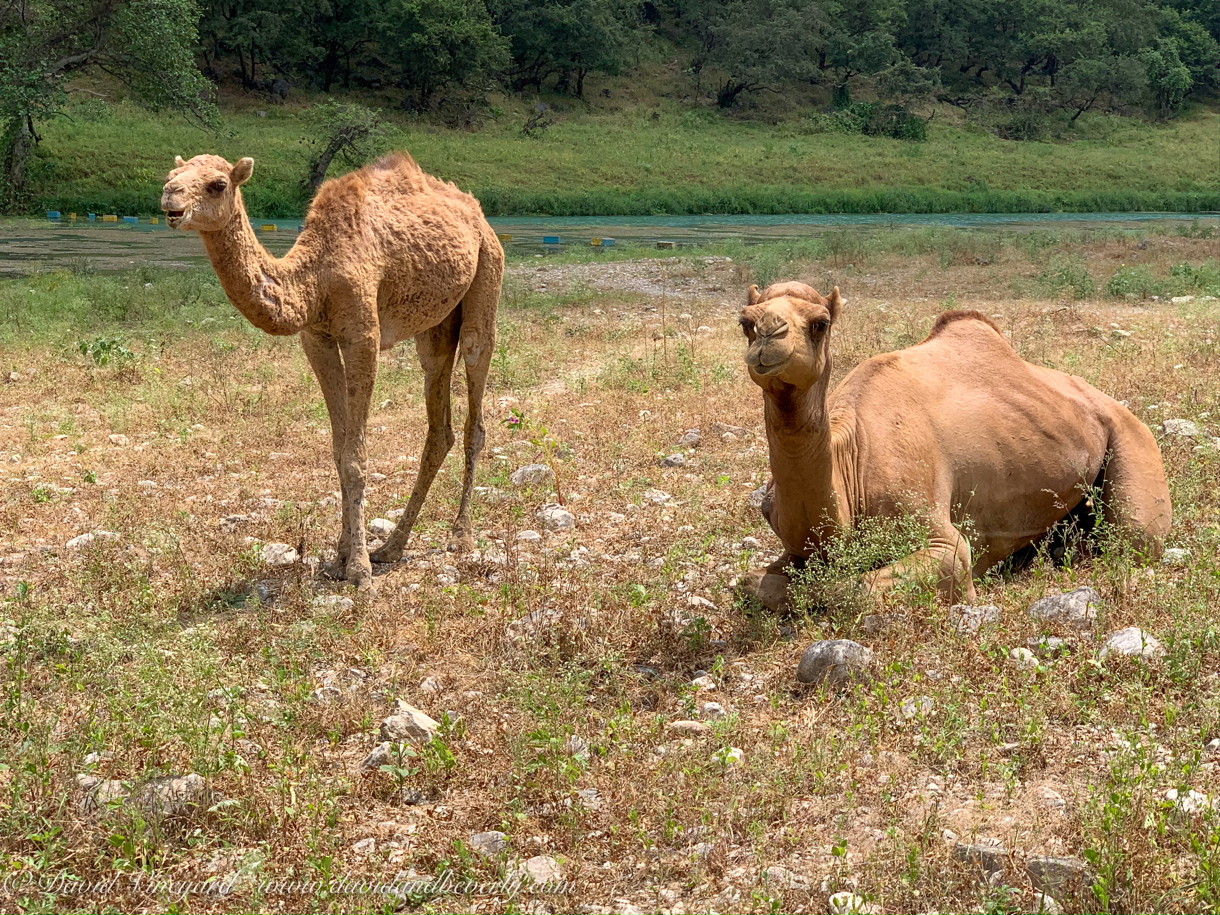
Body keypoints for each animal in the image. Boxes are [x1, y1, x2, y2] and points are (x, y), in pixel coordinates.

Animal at [164, 154, 502, 590]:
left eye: (218, 184)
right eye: (171, 175)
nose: (170, 197)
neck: (315, 278)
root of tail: (478, 214)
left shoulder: (362, 335)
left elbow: (356, 457)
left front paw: (358, 569)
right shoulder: (317, 339)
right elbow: (339, 451)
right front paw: (340, 557)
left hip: (486, 279)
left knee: (475, 405)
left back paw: (461, 536)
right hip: (436, 325)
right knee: (438, 422)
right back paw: (392, 546)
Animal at [732, 279, 1171, 610]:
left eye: (820, 324)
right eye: (745, 322)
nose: (768, 334)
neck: (850, 459)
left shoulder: (940, 535)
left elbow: (853, 589)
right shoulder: (795, 547)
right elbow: (749, 583)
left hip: (1131, 434)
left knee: (1137, 538)